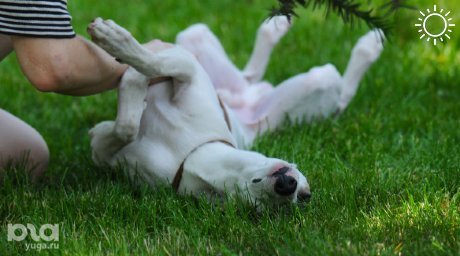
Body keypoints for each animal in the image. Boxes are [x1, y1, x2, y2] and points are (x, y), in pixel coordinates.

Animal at [88, 16, 382, 206]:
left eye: (304, 198)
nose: (287, 188)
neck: (192, 155)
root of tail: (246, 101)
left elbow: (125, 125)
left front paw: (130, 79)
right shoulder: (188, 69)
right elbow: (150, 67)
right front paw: (120, 46)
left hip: (319, 81)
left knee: (342, 95)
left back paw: (369, 47)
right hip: (195, 38)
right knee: (248, 72)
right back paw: (276, 26)